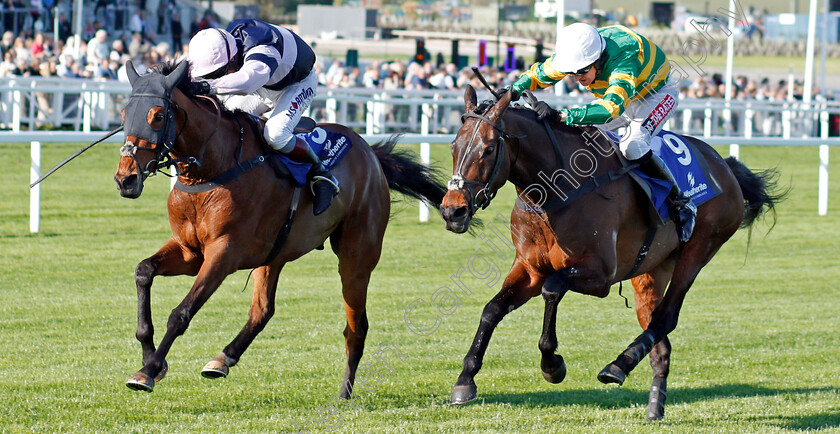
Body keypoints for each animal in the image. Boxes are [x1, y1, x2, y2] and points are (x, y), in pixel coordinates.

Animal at [115, 60, 450, 396]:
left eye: (157, 115)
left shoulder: (223, 253)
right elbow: (144, 271)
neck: (211, 170)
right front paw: (150, 356)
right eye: (123, 113)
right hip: (273, 254)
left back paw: (345, 391)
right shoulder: (190, 251)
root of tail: (371, 154)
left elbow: (181, 313)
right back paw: (222, 359)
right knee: (263, 310)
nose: (125, 179)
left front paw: (148, 370)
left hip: (356, 257)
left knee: (356, 327)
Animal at [440, 85, 780, 420]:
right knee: (660, 341)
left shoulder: (599, 274)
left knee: (667, 317)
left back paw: (619, 364)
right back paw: (654, 405)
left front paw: (552, 364)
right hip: (650, 271)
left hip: (699, 249)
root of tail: (724, 165)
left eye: (487, 149)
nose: (453, 211)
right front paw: (465, 380)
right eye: (454, 146)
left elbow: (552, 289)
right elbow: (492, 310)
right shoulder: (529, 269)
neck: (556, 190)